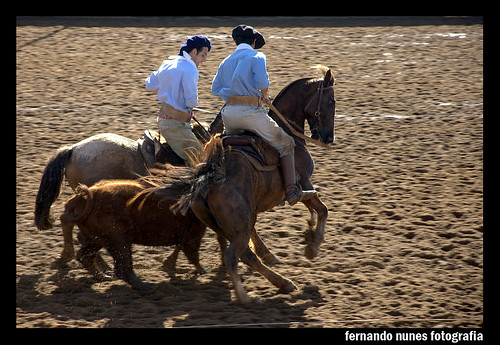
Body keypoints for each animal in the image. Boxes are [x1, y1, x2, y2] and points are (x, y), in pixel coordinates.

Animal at [167, 66, 336, 300]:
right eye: (331, 101)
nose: (329, 138)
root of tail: (206, 179)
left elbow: (318, 211)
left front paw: (309, 235)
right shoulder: (304, 183)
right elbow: (322, 209)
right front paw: (313, 246)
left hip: (225, 224)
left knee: (244, 254)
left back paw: (279, 282)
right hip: (240, 222)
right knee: (236, 255)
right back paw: (249, 295)